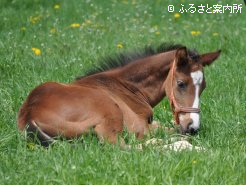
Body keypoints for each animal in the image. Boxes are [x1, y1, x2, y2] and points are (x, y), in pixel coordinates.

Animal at [17, 44, 221, 147]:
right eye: (181, 83)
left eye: (203, 86)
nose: (193, 127)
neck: (127, 86)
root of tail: (29, 115)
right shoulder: (140, 126)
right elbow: (173, 131)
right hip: (110, 113)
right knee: (125, 148)